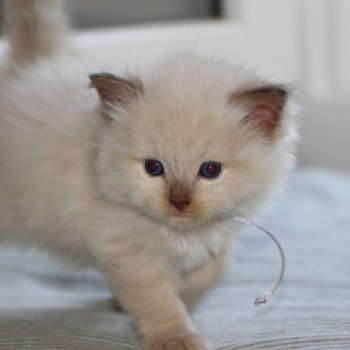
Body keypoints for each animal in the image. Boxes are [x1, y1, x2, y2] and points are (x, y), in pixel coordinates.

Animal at [0, 1, 296, 348]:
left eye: (210, 170)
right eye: (153, 168)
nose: (179, 202)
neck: (182, 236)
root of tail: (26, 68)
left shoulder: (216, 245)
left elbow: (207, 278)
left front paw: (176, 302)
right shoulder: (130, 255)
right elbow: (160, 303)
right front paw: (178, 337)